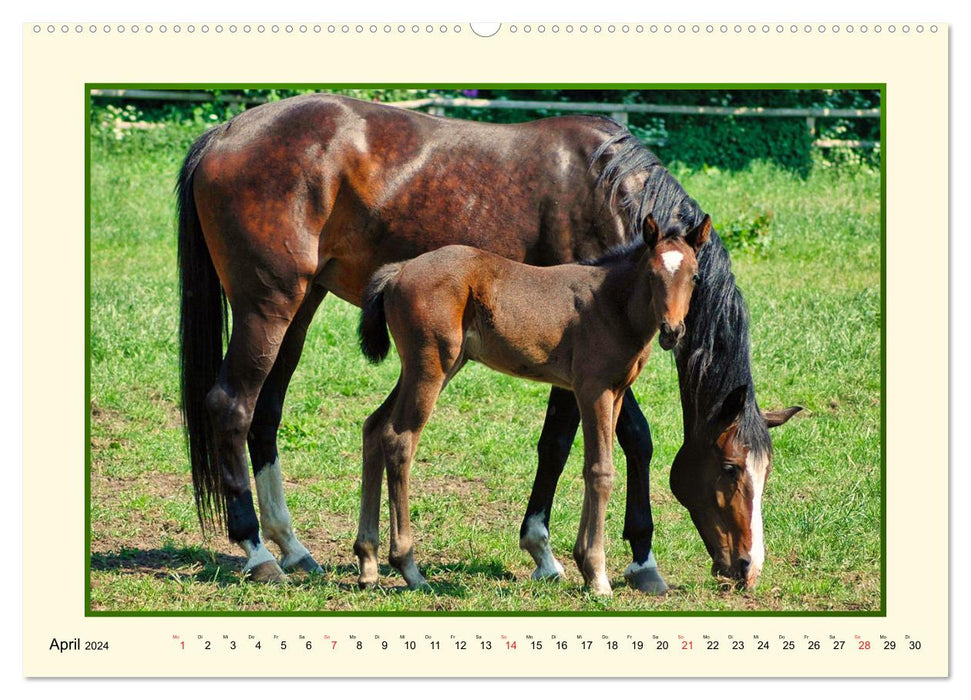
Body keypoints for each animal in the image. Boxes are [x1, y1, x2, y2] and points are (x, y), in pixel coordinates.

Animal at [354, 216, 712, 592]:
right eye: (652, 274)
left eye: (695, 276)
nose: (672, 331)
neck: (611, 305)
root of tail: (400, 270)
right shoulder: (593, 389)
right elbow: (601, 471)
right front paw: (598, 575)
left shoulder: (613, 393)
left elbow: (589, 466)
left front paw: (585, 564)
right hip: (431, 366)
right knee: (399, 439)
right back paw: (408, 567)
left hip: (432, 367)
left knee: (374, 427)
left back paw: (368, 561)